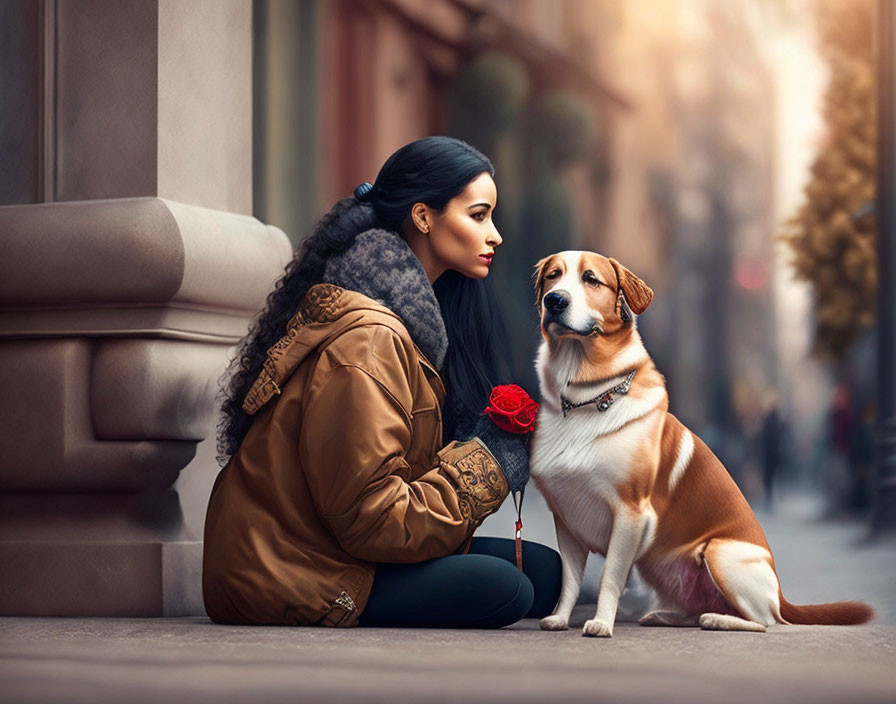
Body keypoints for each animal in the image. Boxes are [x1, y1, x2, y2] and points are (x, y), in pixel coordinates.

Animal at [528, 250, 872, 636]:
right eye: (553, 276)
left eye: (590, 279)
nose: (554, 300)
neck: (584, 397)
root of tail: (781, 595)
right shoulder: (566, 519)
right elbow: (569, 580)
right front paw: (559, 618)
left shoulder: (631, 513)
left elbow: (609, 577)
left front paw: (601, 622)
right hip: (660, 565)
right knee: (703, 608)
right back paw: (665, 615)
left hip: (720, 553)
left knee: (763, 621)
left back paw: (718, 620)